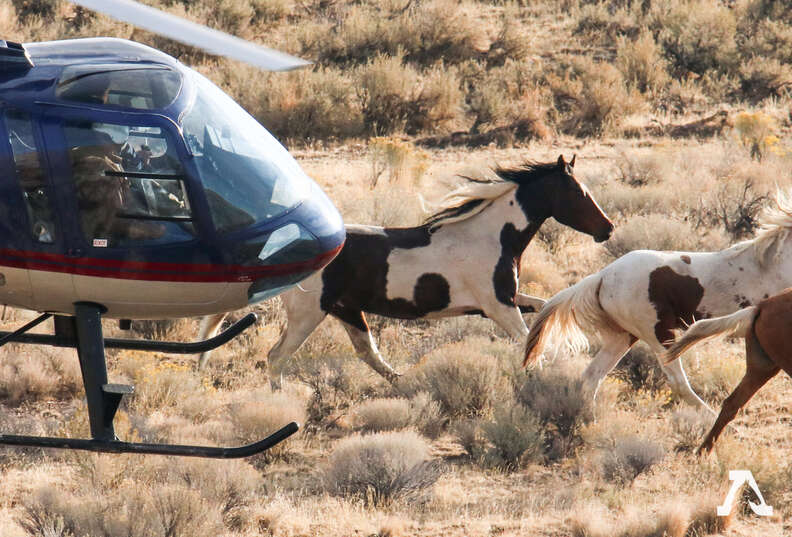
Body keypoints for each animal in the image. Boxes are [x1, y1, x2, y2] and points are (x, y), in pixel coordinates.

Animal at [198, 155, 614, 383]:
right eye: (578, 193)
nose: (607, 228)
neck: (493, 235)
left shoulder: (505, 300)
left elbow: (546, 309)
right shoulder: (499, 307)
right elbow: (528, 343)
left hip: (347, 311)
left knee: (368, 353)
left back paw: (405, 383)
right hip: (308, 313)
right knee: (276, 358)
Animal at [523, 189, 792, 414]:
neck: (777, 261)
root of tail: (603, 276)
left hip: (623, 336)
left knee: (592, 376)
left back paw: (590, 420)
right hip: (659, 334)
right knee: (678, 382)